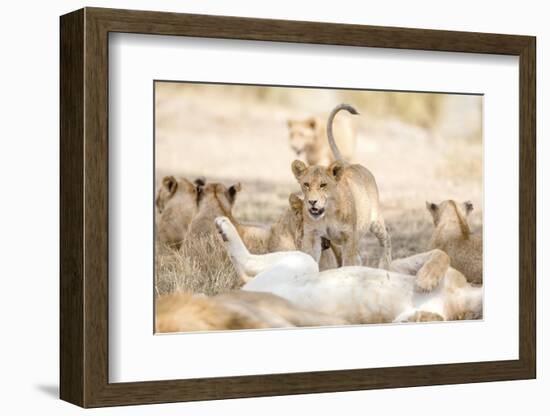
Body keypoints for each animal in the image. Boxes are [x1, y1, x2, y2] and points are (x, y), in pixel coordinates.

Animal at [294, 103, 392, 266]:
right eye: (306, 184)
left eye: (323, 185)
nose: (312, 202)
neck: (328, 213)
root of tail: (350, 164)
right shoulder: (312, 236)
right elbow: (310, 257)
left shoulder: (349, 238)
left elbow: (349, 263)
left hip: (375, 220)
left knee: (386, 238)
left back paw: (385, 263)